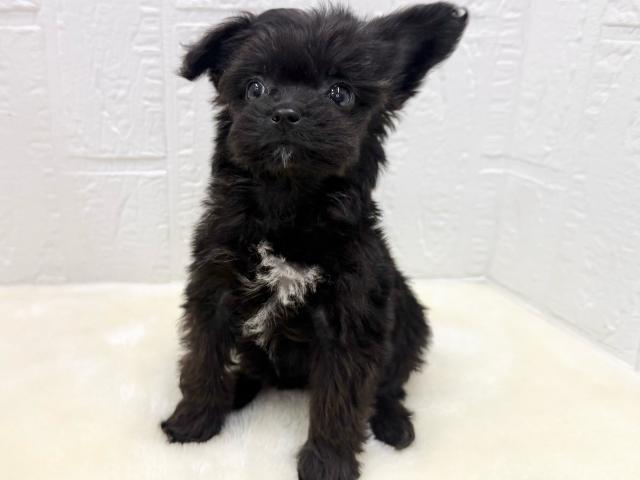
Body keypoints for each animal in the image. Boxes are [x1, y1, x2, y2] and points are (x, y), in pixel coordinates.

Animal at [161, 4, 467, 479]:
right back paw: (237, 390)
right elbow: (204, 359)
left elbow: (341, 401)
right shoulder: (214, 288)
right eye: (255, 87)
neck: (288, 207)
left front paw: (328, 464)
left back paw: (393, 423)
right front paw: (194, 421)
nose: (286, 112)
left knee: (390, 385)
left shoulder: (349, 318)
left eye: (339, 93)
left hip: (410, 324)